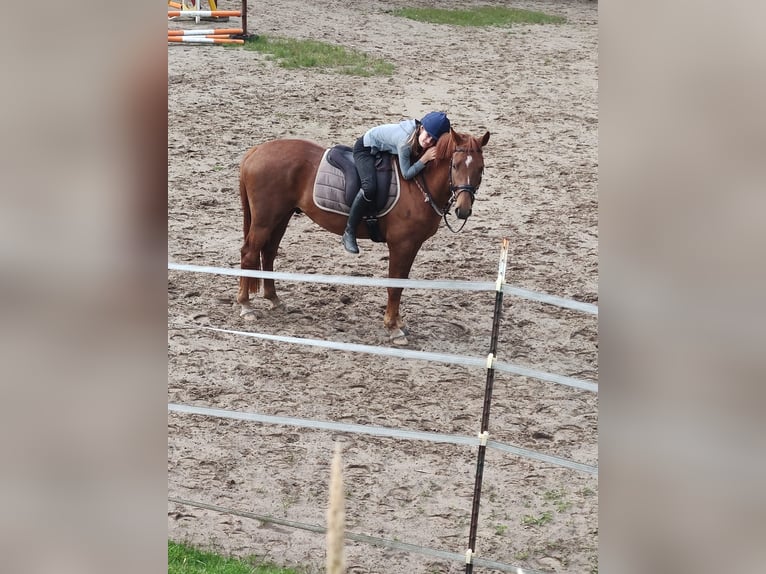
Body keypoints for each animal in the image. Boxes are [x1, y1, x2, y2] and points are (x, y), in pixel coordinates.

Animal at [236, 128, 492, 344]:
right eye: (455, 165)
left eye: (480, 169)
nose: (463, 210)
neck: (417, 183)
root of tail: (256, 151)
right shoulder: (402, 245)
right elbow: (395, 286)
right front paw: (393, 328)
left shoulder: (411, 246)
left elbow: (400, 283)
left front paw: (398, 322)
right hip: (265, 220)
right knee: (249, 254)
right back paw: (246, 306)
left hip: (281, 216)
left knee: (268, 253)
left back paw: (273, 299)